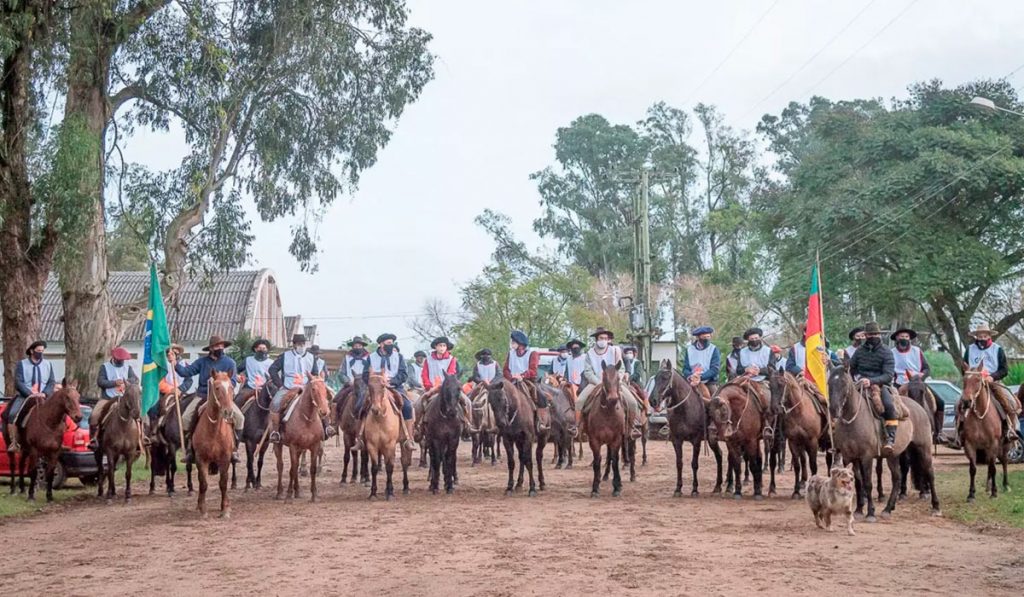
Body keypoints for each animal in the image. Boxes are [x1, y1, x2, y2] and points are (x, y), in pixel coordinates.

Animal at [192, 372, 235, 518]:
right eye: (216, 388)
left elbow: (223, 483)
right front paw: (203, 510)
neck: (214, 431)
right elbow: (203, 483)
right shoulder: (200, 459)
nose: (228, 412)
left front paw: (225, 509)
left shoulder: (225, 458)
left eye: (231, 387)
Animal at [585, 362, 622, 497]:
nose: (613, 399)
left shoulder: (616, 440)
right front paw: (595, 488)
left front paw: (616, 488)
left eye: (618, 378)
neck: (607, 413)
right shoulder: (594, 441)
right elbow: (597, 461)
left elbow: (615, 461)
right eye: (604, 378)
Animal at [651, 362, 724, 497]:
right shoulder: (676, 440)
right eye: (655, 378)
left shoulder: (696, 441)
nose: (652, 400)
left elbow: (694, 464)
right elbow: (679, 464)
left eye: (665, 377)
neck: (685, 409)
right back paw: (718, 486)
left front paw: (694, 489)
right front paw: (678, 489)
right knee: (719, 455)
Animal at [770, 368, 823, 499]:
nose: (774, 409)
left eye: (781, 384)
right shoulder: (793, 442)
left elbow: (813, 464)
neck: (800, 412)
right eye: (770, 385)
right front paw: (796, 491)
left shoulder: (812, 441)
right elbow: (797, 466)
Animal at [958, 368, 1007, 499]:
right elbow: (973, 469)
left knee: (1004, 462)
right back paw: (987, 487)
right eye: (964, 380)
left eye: (977, 380)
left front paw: (994, 492)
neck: (980, 418)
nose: (966, 401)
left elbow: (993, 467)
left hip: (1003, 446)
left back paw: (1005, 485)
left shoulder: (994, 443)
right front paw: (971, 494)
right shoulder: (970, 444)